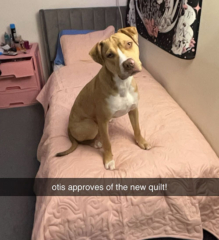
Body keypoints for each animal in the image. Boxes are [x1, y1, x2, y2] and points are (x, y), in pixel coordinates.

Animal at [57, 27, 151, 170]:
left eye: (129, 44)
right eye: (110, 55)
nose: (129, 64)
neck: (123, 84)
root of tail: (68, 126)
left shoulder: (134, 110)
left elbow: (137, 129)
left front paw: (141, 142)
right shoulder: (102, 121)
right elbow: (107, 143)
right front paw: (108, 160)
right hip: (91, 126)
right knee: (81, 141)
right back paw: (95, 143)